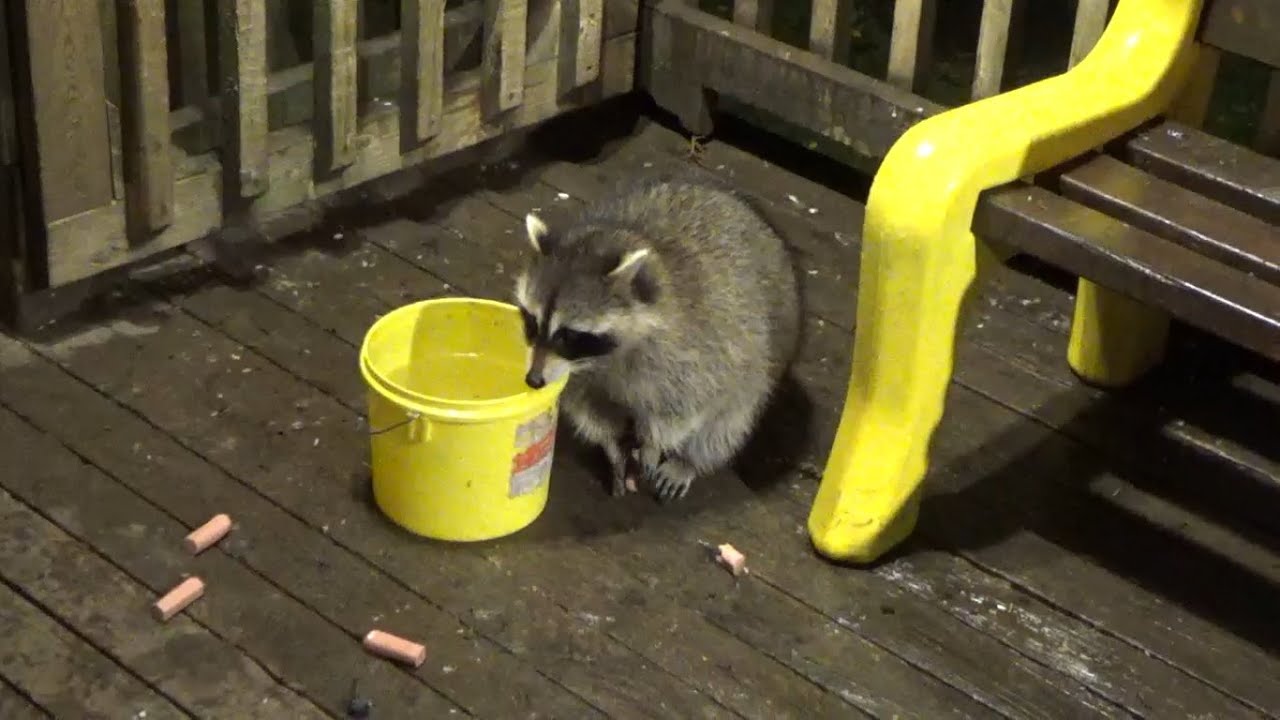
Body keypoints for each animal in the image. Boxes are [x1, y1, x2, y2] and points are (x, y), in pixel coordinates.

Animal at [512, 171, 801, 501]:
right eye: (532, 321)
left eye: (568, 335)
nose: (533, 380)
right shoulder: (579, 376)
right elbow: (592, 411)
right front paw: (613, 447)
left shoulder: (698, 348)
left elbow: (685, 409)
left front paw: (655, 445)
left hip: (760, 364)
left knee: (728, 421)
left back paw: (690, 460)